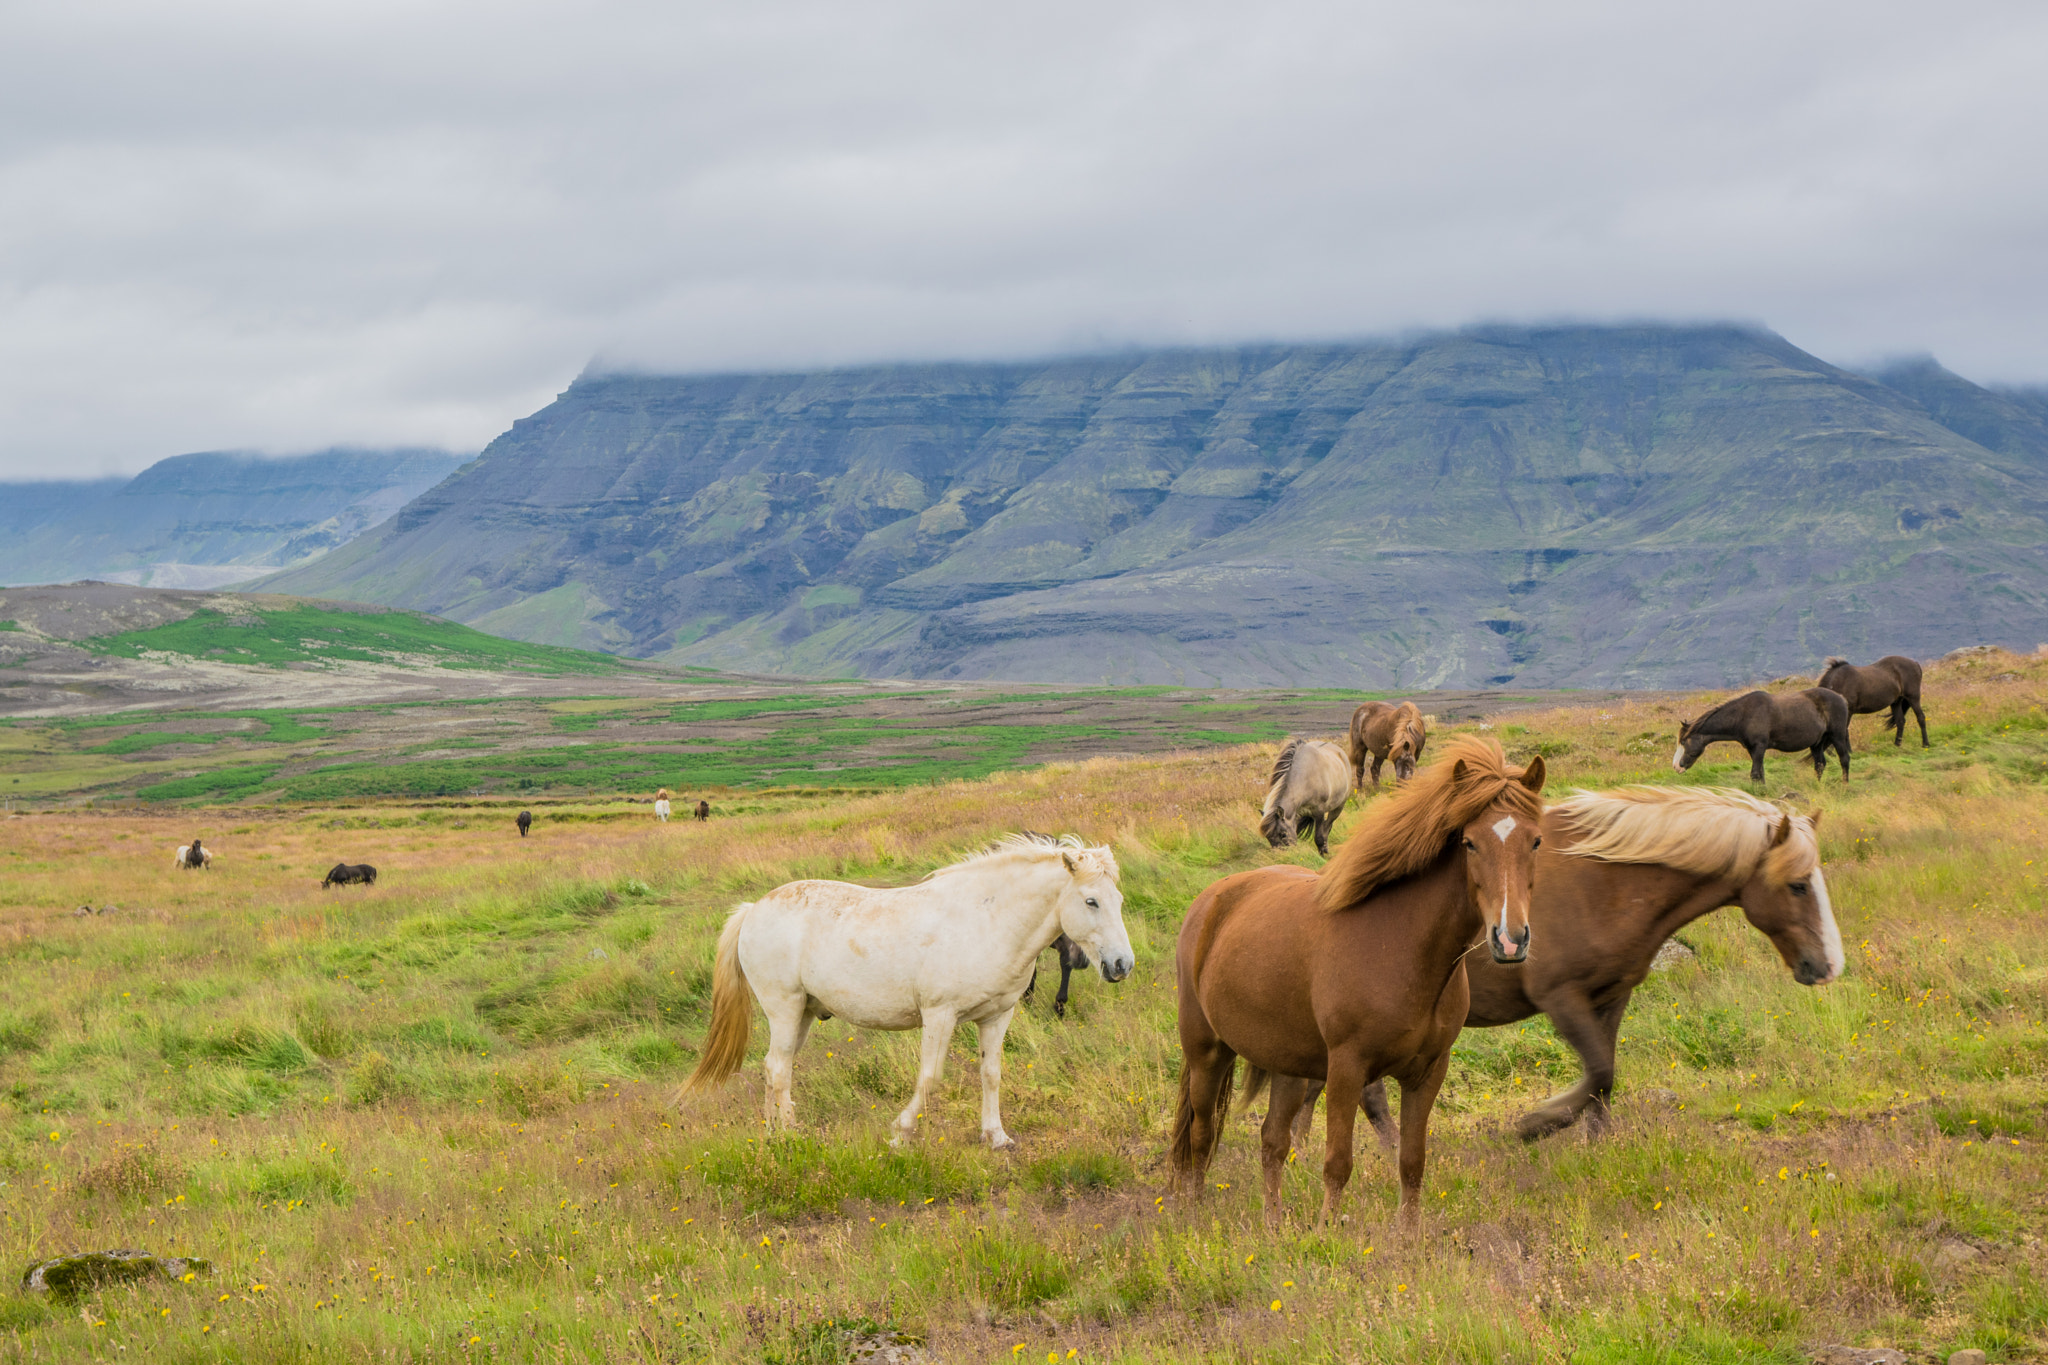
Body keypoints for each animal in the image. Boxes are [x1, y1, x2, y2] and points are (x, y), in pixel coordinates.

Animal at [684, 839, 1138, 1146]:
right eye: (1091, 901)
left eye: (1117, 899)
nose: (1122, 964)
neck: (986, 921)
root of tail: (752, 910)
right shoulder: (940, 1015)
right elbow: (930, 1079)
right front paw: (899, 1133)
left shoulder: (997, 1016)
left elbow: (991, 1074)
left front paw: (996, 1137)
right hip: (785, 1008)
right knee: (778, 1069)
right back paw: (793, 1136)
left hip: (805, 1014)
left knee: (773, 1067)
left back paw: (772, 1133)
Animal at [1171, 740, 1540, 1236]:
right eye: (1469, 842)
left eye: (1535, 840)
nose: (1510, 939)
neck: (1401, 945)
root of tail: (1210, 901)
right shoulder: (1347, 1069)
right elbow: (1337, 1163)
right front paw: (1327, 1233)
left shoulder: (1428, 1072)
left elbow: (1411, 1161)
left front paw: (1407, 1239)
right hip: (1206, 1052)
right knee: (1201, 1135)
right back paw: (1193, 1217)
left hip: (1288, 1065)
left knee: (1272, 1141)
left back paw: (1274, 1226)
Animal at [1679, 687, 1859, 785]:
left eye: (1684, 742)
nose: (1678, 766)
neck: (1744, 714)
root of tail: (1841, 698)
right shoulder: (1753, 750)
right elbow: (1760, 774)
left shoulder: (1759, 747)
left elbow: (1755, 774)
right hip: (1817, 743)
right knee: (1820, 764)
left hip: (1837, 736)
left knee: (1844, 759)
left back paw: (1845, 785)